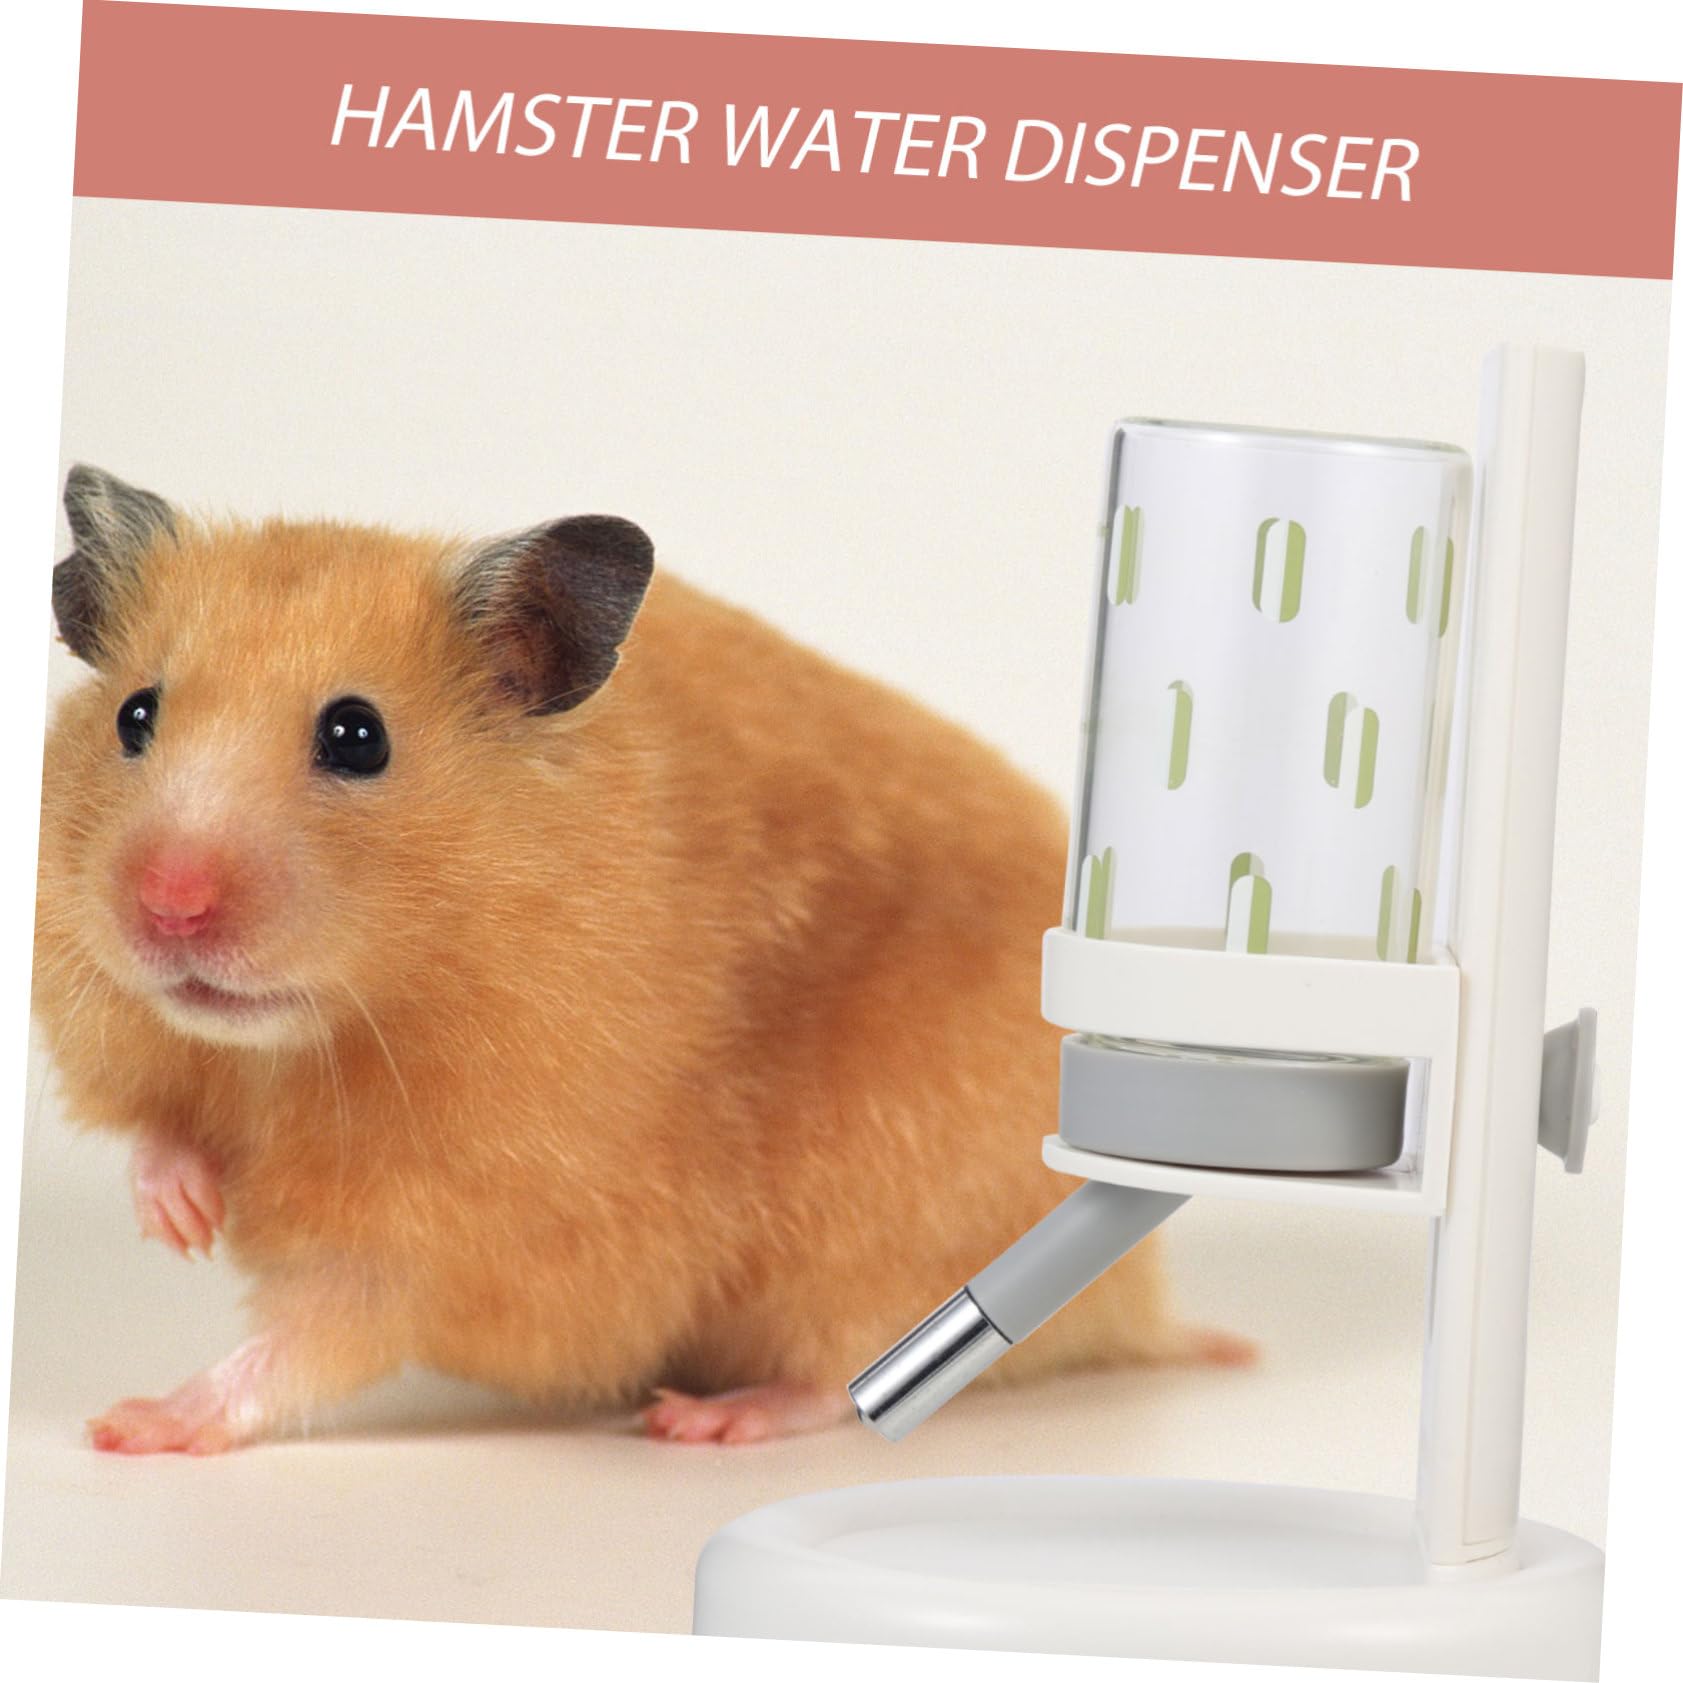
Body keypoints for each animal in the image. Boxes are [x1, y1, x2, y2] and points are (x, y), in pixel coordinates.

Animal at [32, 465, 1251, 1454]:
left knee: (842, 1370)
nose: (165, 909)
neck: (312, 1041)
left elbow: (309, 1342)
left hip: (887, 1232)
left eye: (357, 736)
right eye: (135, 715)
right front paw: (183, 1218)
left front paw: (131, 1427)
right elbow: (154, 1127)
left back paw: (706, 1419)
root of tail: (1141, 1303)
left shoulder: (454, 1224)